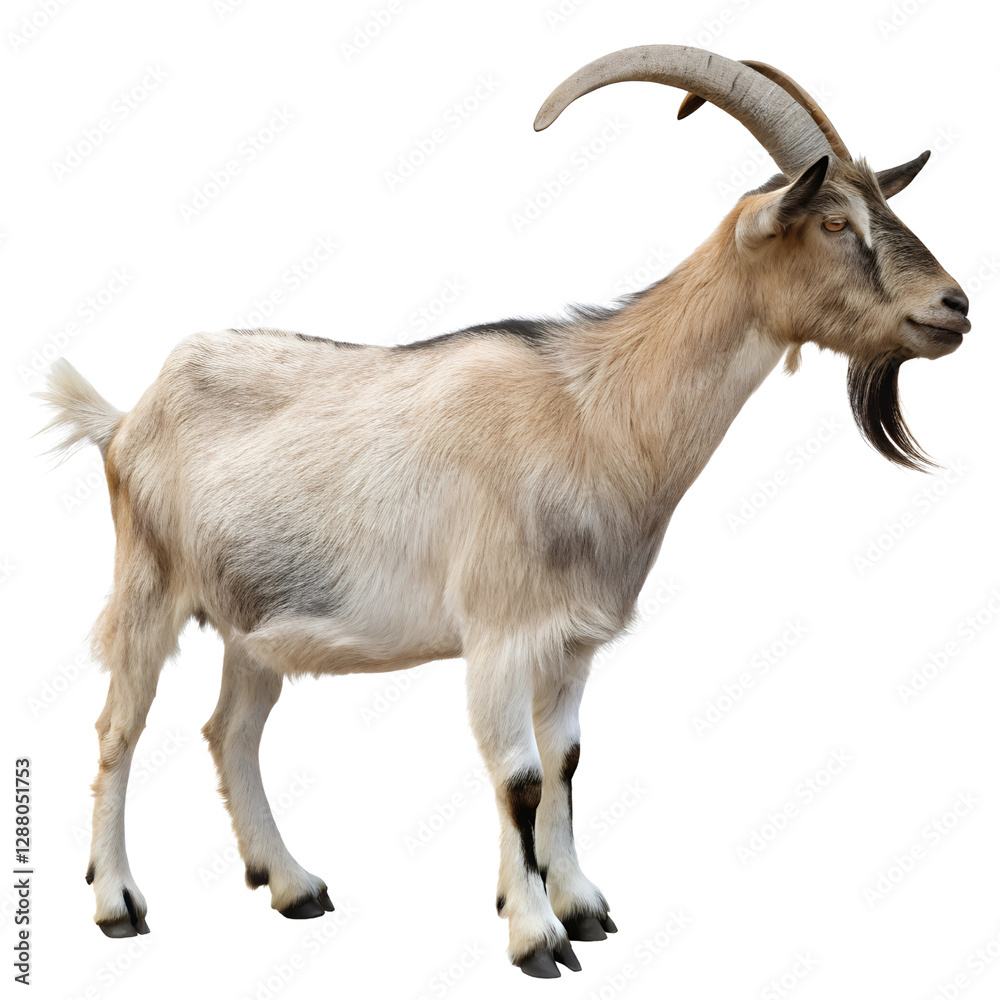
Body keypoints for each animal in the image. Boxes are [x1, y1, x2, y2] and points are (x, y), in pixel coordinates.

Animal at [38, 45, 970, 978]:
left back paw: (294, 884)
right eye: (835, 223)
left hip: (254, 618)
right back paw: (118, 903)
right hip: (149, 583)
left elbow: (563, 764)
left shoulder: (570, 640)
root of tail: (127, 416)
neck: (596, 413)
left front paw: (582, 905)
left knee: (229, 731)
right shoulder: (497, 633)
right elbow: (515, 777)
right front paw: (535, 936)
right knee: (120, 727)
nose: (955, 306)